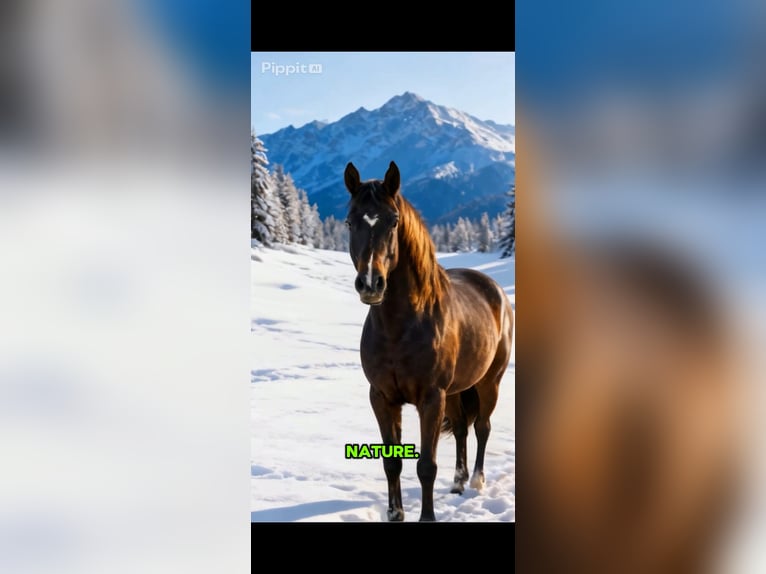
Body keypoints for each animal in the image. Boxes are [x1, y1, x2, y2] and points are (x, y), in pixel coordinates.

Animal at [343, 161, 514, 521]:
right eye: (350, 221)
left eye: (394, 221)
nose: (371, 283)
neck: (400, 328)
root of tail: (494, 289)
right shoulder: (382, 397)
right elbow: (392, 462)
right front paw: (395, 513)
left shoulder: (431, 399)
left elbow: (426, 466)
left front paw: (427, 517)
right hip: (458, 389)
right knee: (462, 428)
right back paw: (459, 482)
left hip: (488, 382)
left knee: (482, 427)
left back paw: (476, 481)